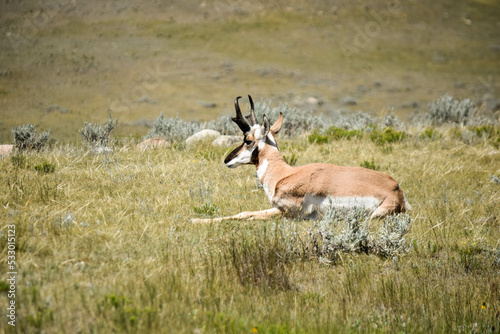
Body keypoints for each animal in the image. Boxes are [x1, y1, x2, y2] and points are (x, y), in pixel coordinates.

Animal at [191, 95, 410, 223]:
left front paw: (196, 220)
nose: (227, 160)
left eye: (247, 140)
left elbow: (245, 214)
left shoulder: (284, 211)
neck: (283, 174)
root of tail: (395, 188)